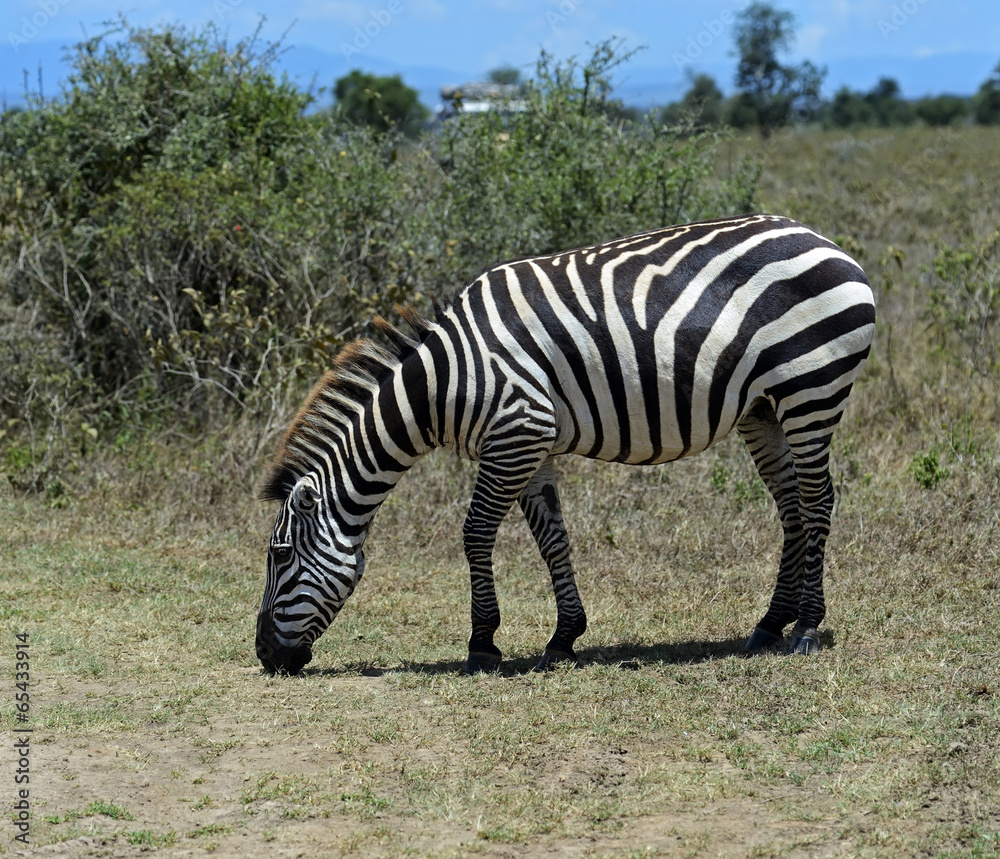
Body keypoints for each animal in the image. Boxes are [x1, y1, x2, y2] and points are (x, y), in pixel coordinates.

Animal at [255, 213, 875, 675]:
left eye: (280, 555)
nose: (265, 657)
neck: (443, 383)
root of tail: (823, 239)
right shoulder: (532, 447)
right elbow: (553, 538)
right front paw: (563, 638)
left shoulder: (517, 432)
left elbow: (475, 534)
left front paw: (483, 643)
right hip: (762, 409)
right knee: (792, 507)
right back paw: (770, 623)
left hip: (811, 389)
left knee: (818, 501)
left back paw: (806, 627)